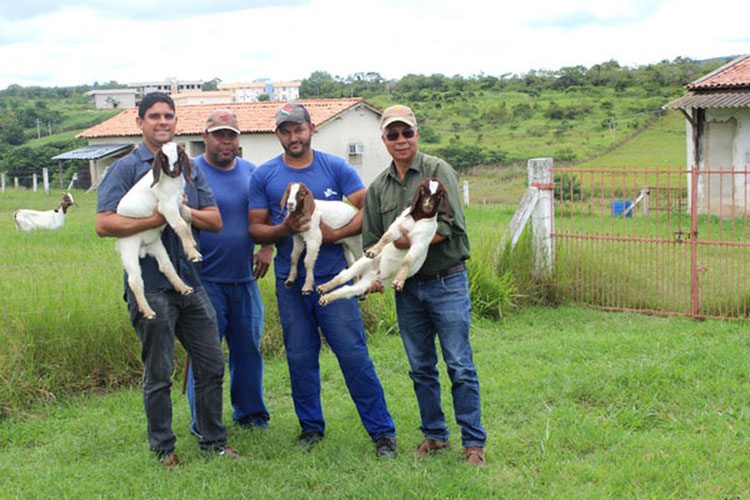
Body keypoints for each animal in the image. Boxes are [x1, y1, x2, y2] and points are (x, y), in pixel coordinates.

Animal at [114, 143, 200, 318]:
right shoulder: (166, 207)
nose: (173, 172)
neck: (171, 183)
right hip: (129, 247)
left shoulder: (178, 202)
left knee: (166, 266)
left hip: (156, 244)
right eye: (163, 158)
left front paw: (192, 243)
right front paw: (193, 254)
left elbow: (188, 216)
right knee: (135, 280)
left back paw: (184, 288)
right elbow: (180, 226)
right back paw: (148, 311)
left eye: (180, 155)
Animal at [318, 178, 452, 306]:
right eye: (423, 191)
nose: (427, 206)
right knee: (343, 276)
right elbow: (386, 237)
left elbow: (408, 260)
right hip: (362, 263)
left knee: (347, 290)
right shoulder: (397, 227)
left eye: (440, 194)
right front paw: (373, 251)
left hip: (368, 283)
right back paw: (323, 287)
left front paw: (398, 282)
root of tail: (376, 272)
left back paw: (325, 298)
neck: (417, 219)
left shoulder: (421, 241)